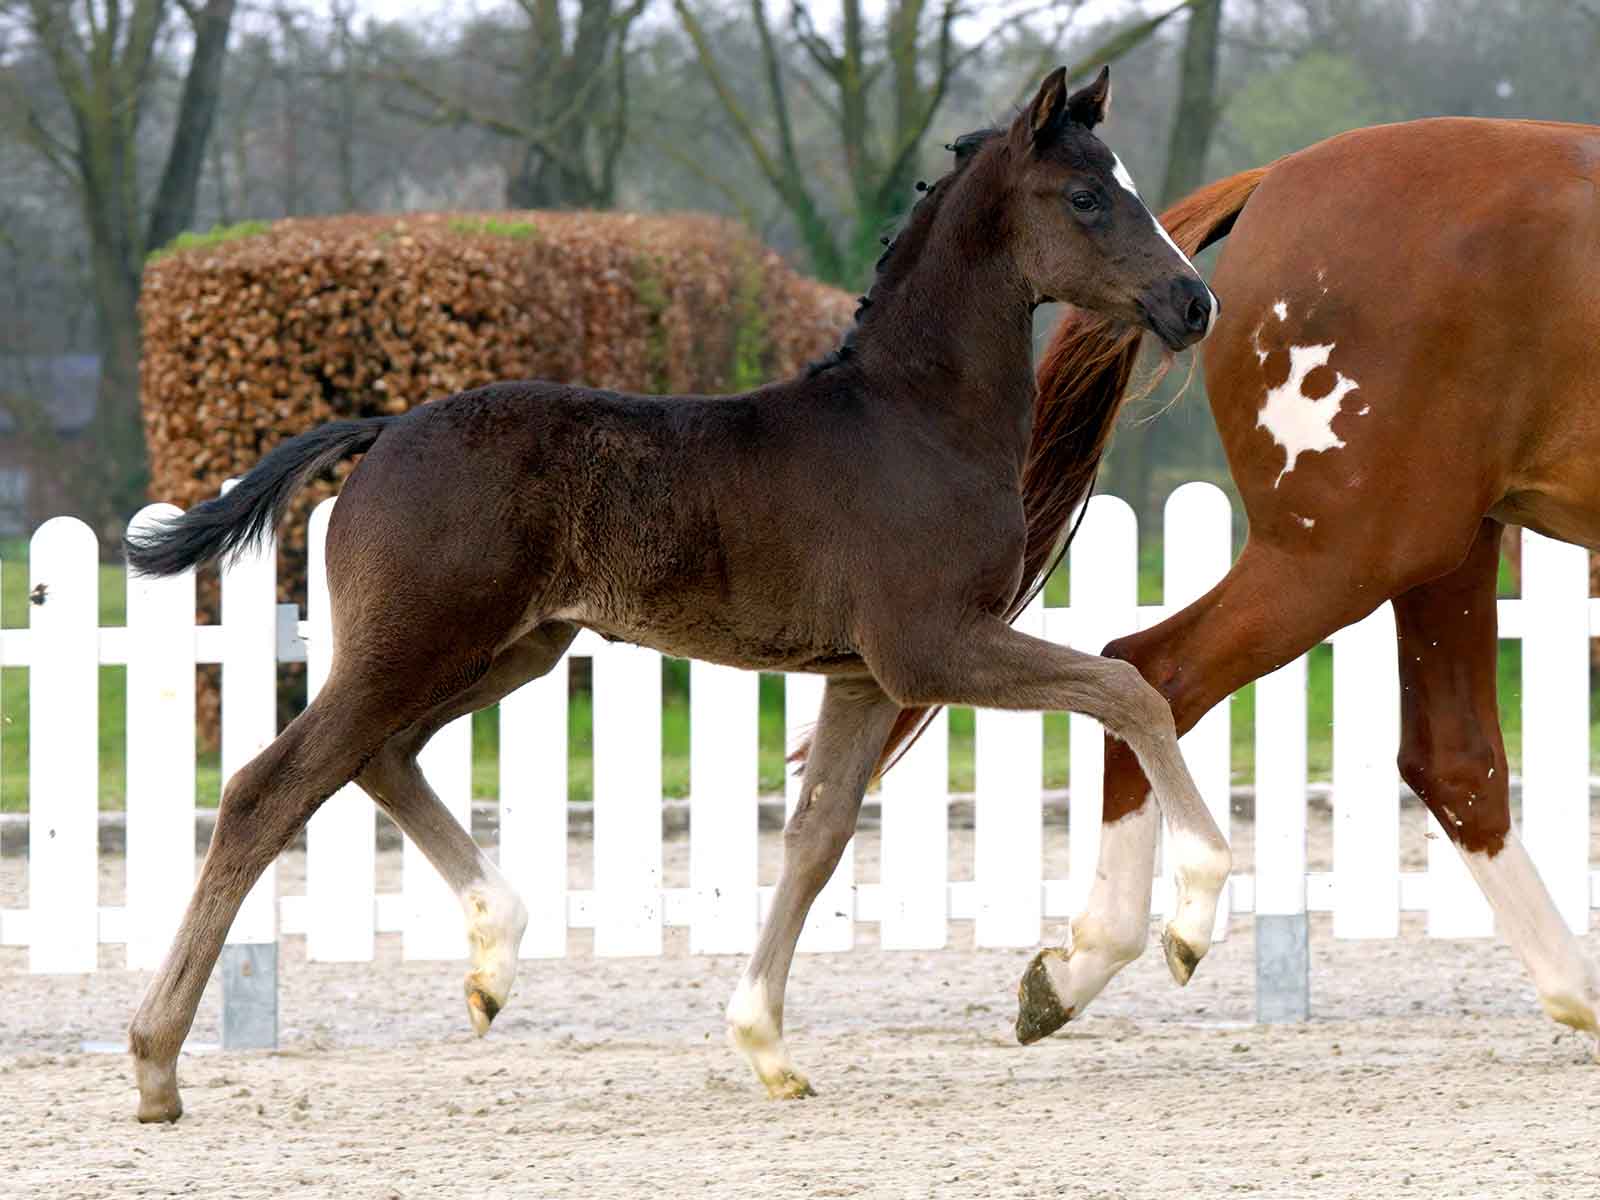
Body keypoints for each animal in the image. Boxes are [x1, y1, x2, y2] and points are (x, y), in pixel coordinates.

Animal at [122, 66, 1231, 1123]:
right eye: (1086, 195)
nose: (1194, 304)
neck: (914, 420)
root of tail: (384, 429)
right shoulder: (931, 647)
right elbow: (1127, 689)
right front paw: (1189, 916)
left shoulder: (863, 677)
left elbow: (818, 837)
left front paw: (765, 1045)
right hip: (416, 646)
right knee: (267, 790)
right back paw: (155, 1060)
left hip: (509, 650)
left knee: (381, 759)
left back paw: (493, 962)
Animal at [986, 116, 1600, 1047]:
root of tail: (1277, 179)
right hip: (1349, 553)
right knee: (1152, 668)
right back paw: (1103, 951)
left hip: (1442, 550)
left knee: (1455, 764)